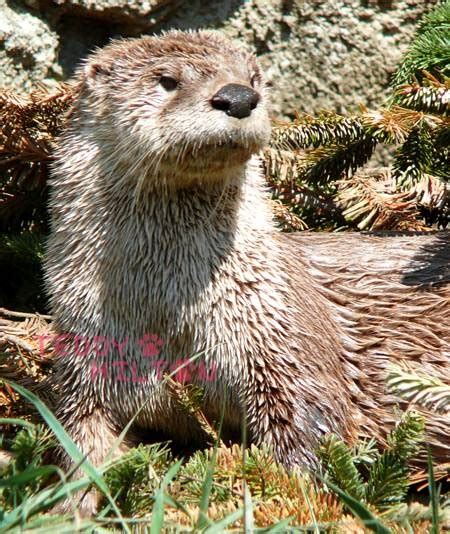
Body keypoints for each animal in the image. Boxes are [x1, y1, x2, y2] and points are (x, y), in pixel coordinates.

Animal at [44, 29, 448, 516]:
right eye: (166, 80)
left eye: (253, 77)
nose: (237, 97)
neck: (166, 314)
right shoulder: (86, 354)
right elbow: (80, 440)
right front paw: (74, 507)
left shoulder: (281, 337)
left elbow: (310, 430)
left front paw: (290, 495)